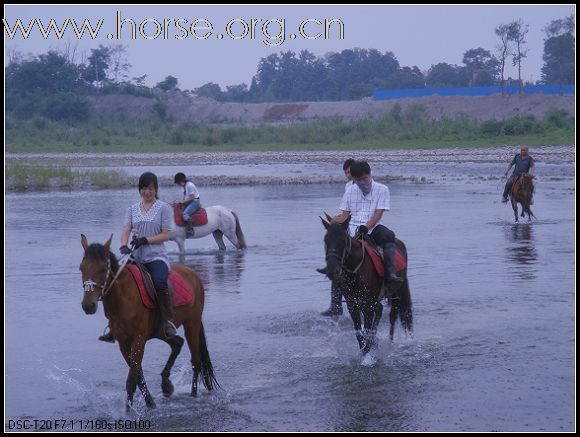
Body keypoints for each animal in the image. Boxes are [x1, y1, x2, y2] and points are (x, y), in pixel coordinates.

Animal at [79, 235, 220, 408]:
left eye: (103, 269)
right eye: (81, 268)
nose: (88, 305)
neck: (122, 299)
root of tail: (193, 274)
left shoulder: (138, 340)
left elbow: (131, 380)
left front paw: (129, 410)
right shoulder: (123, 343)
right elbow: (138, 376)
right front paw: (150, 403)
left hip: (192, 324)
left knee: (196, 361)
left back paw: (193, 395)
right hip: (160, 331)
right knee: (177, 343)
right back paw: (166, 384)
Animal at [322, 215, 412, 354]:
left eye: (342, 240)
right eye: (326, 240)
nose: (332, 270)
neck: (355, 271)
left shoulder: (367, 305)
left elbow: (368, 332)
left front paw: (369, 354)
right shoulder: (353, 305)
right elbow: (360, 334)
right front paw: (366, 351)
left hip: (397, 290)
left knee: (394, 315)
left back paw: (391, 342)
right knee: (380, 310)